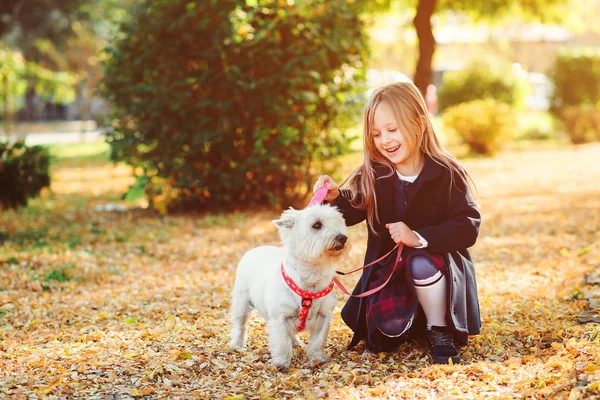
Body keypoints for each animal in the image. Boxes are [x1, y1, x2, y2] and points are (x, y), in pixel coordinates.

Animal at [231, 205, 352, 370]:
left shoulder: (324, 316)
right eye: (317, 225)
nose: (342, 237)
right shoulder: (280, 317)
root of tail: (254, 249)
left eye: (338, 222)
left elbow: (318, 340)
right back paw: (236, 345)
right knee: (240, 324)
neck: (311, 278)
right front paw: (281, 363)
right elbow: (282, 341)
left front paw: (317, 359)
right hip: (242, 302)